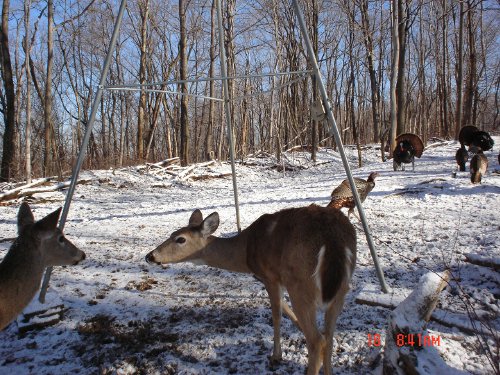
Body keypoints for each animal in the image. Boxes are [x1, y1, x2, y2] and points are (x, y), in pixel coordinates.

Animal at [145, 206, 356, 375]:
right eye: (172, 233)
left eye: (180, 239)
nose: (150, 256)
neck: (245, 253)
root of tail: (332, 240)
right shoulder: (275, 279)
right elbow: (285, 309)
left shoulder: (270, 276)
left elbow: (276, 315)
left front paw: (276, 356)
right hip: (342, 287)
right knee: (328, 336)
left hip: (301, 282)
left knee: (317, 340)